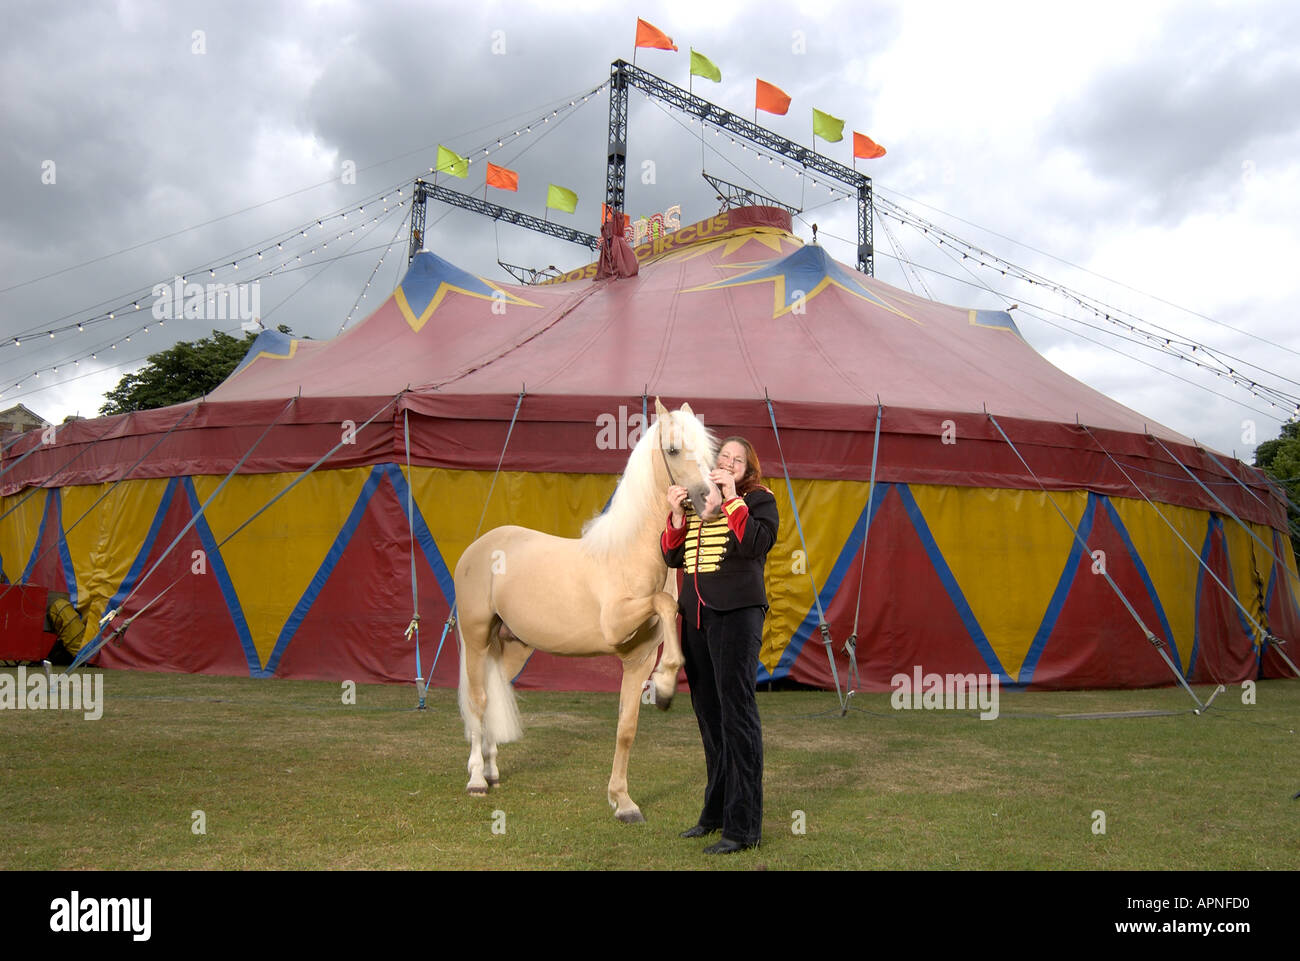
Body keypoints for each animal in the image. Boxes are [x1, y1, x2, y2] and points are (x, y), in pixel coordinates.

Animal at [453, 399, 719, 822]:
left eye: (710, 451)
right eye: (674, 449)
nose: (710, 502)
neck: (627, 553)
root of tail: (480, 547)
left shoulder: (638, 658)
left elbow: (626, 728)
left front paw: (623, 802)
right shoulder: (617, 624)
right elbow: (665, 603)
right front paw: (665, 687)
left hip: (512, 646)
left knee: (493, 697)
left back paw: (493, 771)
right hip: (476, 638)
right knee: (479, 702)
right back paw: (477, 779)